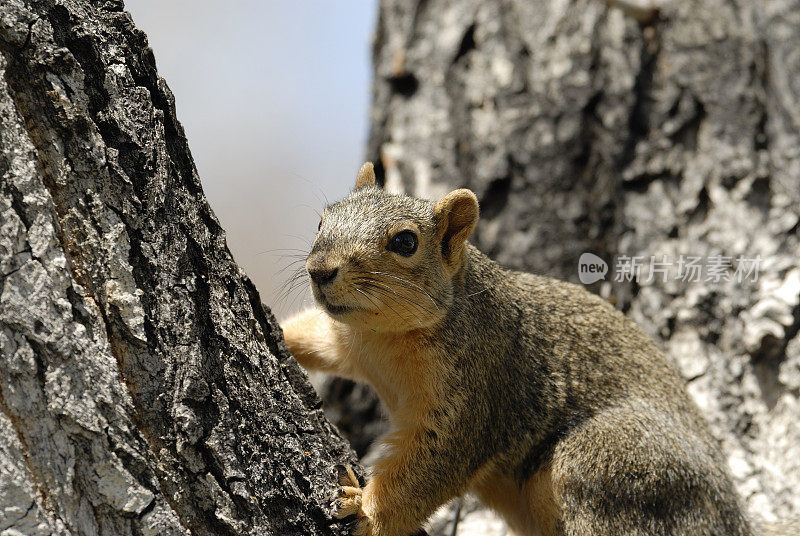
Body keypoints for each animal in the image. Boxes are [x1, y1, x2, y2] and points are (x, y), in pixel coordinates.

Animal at [280, 163, 792, 536]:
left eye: (405, 242)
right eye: (323, 219)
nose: (320, 270)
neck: (385, 338)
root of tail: (734, 521)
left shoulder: (479, 391)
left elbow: (430, 470)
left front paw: (366, 512)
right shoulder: (349, 341)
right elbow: (315, 338)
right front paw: (280, 333)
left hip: (611, 464)